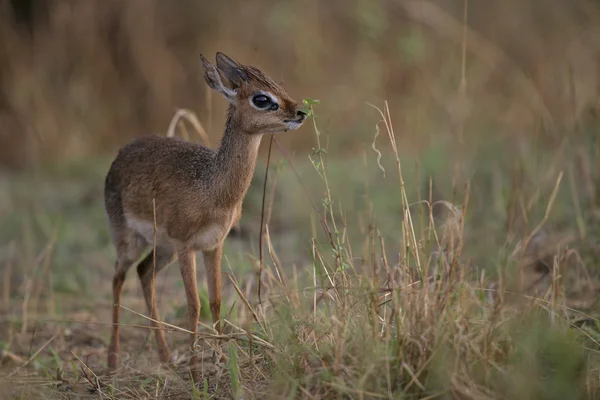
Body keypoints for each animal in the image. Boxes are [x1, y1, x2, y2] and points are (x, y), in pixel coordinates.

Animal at [103, 51, 308, 380]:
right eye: (262, 98)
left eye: (279, 86)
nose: (300, 112)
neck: (213, 189)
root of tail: (121, 154)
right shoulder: (187, 247)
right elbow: (193, 304)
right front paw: (197, 368)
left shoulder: (213, 245)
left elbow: (215, 300)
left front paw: (221, 358)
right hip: (129, 240)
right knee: (118, 279)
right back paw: (112, 360)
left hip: (162, 248)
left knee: (144, 273)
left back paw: (164, 357)